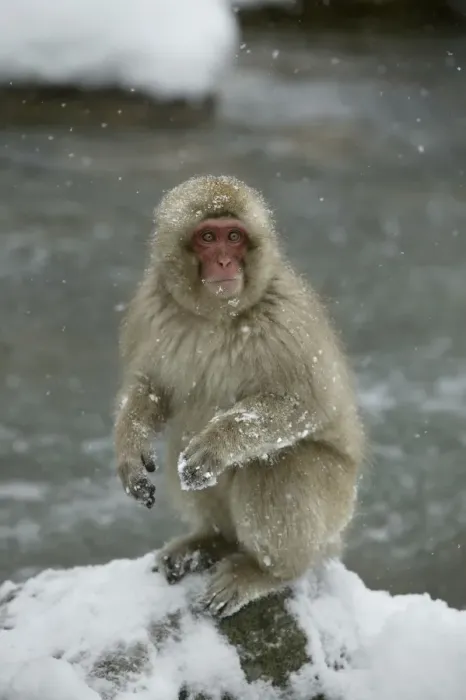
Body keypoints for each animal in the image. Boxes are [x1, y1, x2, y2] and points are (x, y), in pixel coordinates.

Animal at [114, 175, 365, 618]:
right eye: (207, 237)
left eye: (234, 237)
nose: (225, 263)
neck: (216, 315)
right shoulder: (148, 308)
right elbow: (149, 388)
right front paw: (129, 451)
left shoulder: (285, 321)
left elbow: (304, 405)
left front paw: (216, 445)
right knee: (181, 444)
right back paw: (213, 541)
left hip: (336, 505)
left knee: (277, 465)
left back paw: (268, 572)